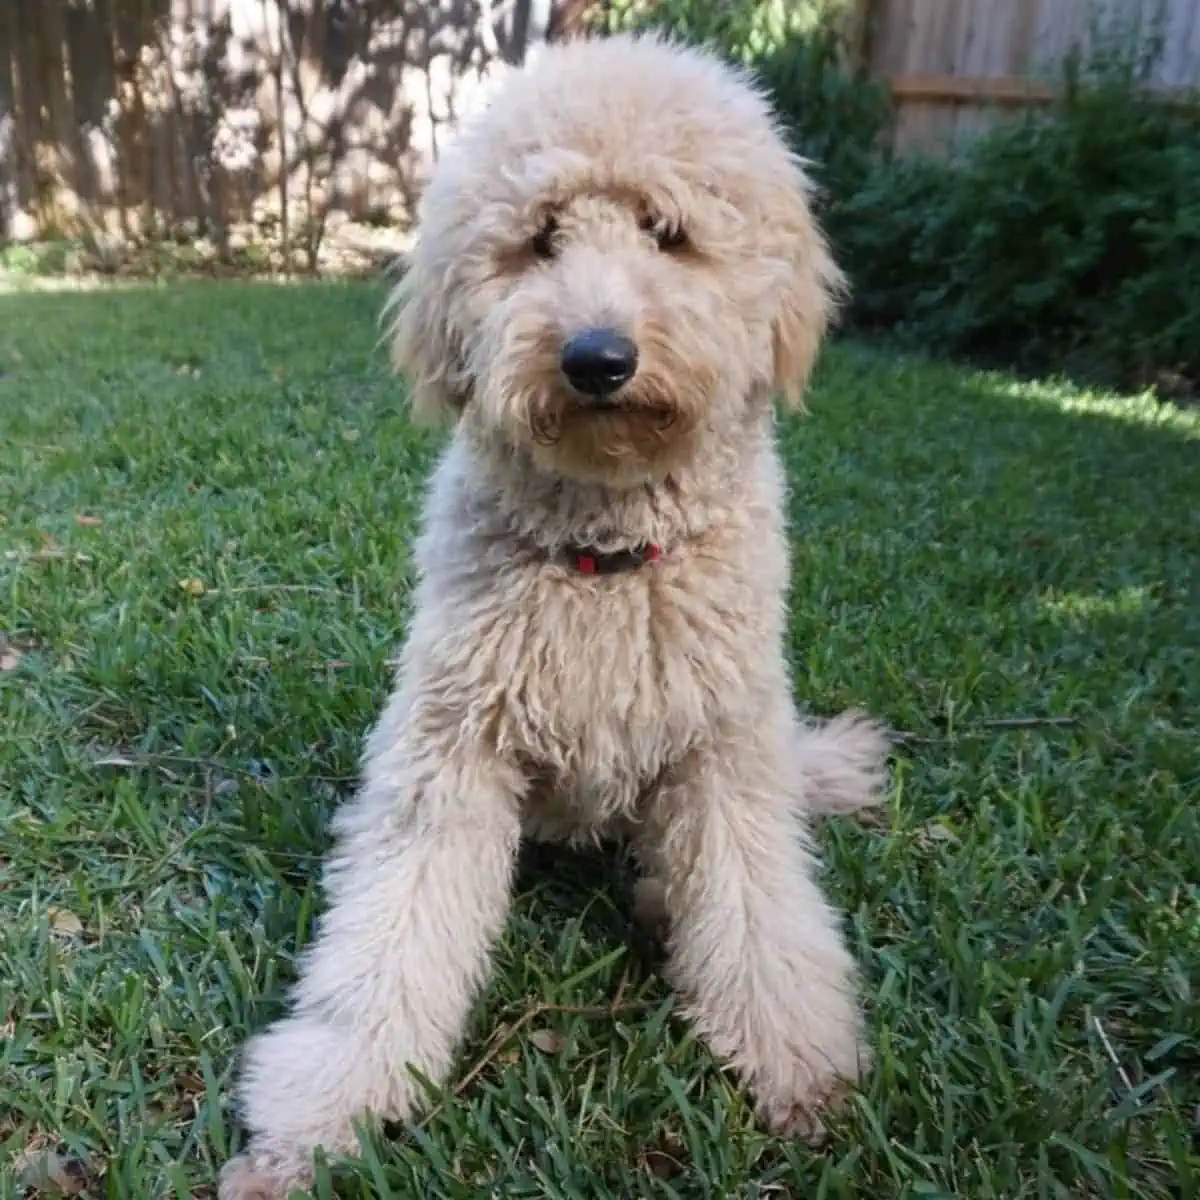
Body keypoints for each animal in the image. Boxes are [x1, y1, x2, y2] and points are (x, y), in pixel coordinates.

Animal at [218, 32, 892, 1195]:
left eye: (670, 232)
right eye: (539, 240)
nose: (596, 356)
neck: (607, 561)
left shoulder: (725, 755)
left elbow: (761, 914)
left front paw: (797, 1068)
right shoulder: (448, 753)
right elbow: (390, 936)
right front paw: (321, 1114)